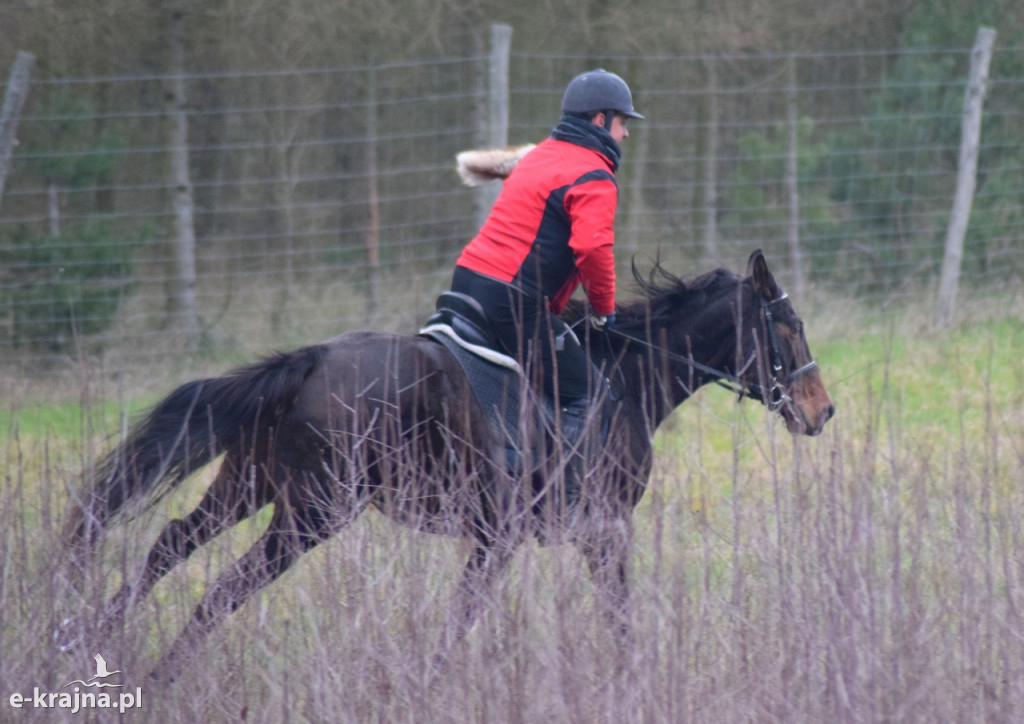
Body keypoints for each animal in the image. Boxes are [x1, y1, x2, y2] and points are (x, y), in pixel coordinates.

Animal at [58, 247, 831, 679]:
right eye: (789, 328)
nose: (822, 411)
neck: (625, 377)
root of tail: (308, 359)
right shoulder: (587, 531)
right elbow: (593, 616)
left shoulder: (514, 539)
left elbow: (471, 616)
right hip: (311, 513)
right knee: (222, 589)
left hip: (249, 485)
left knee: (170, 545)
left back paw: (88, 642)